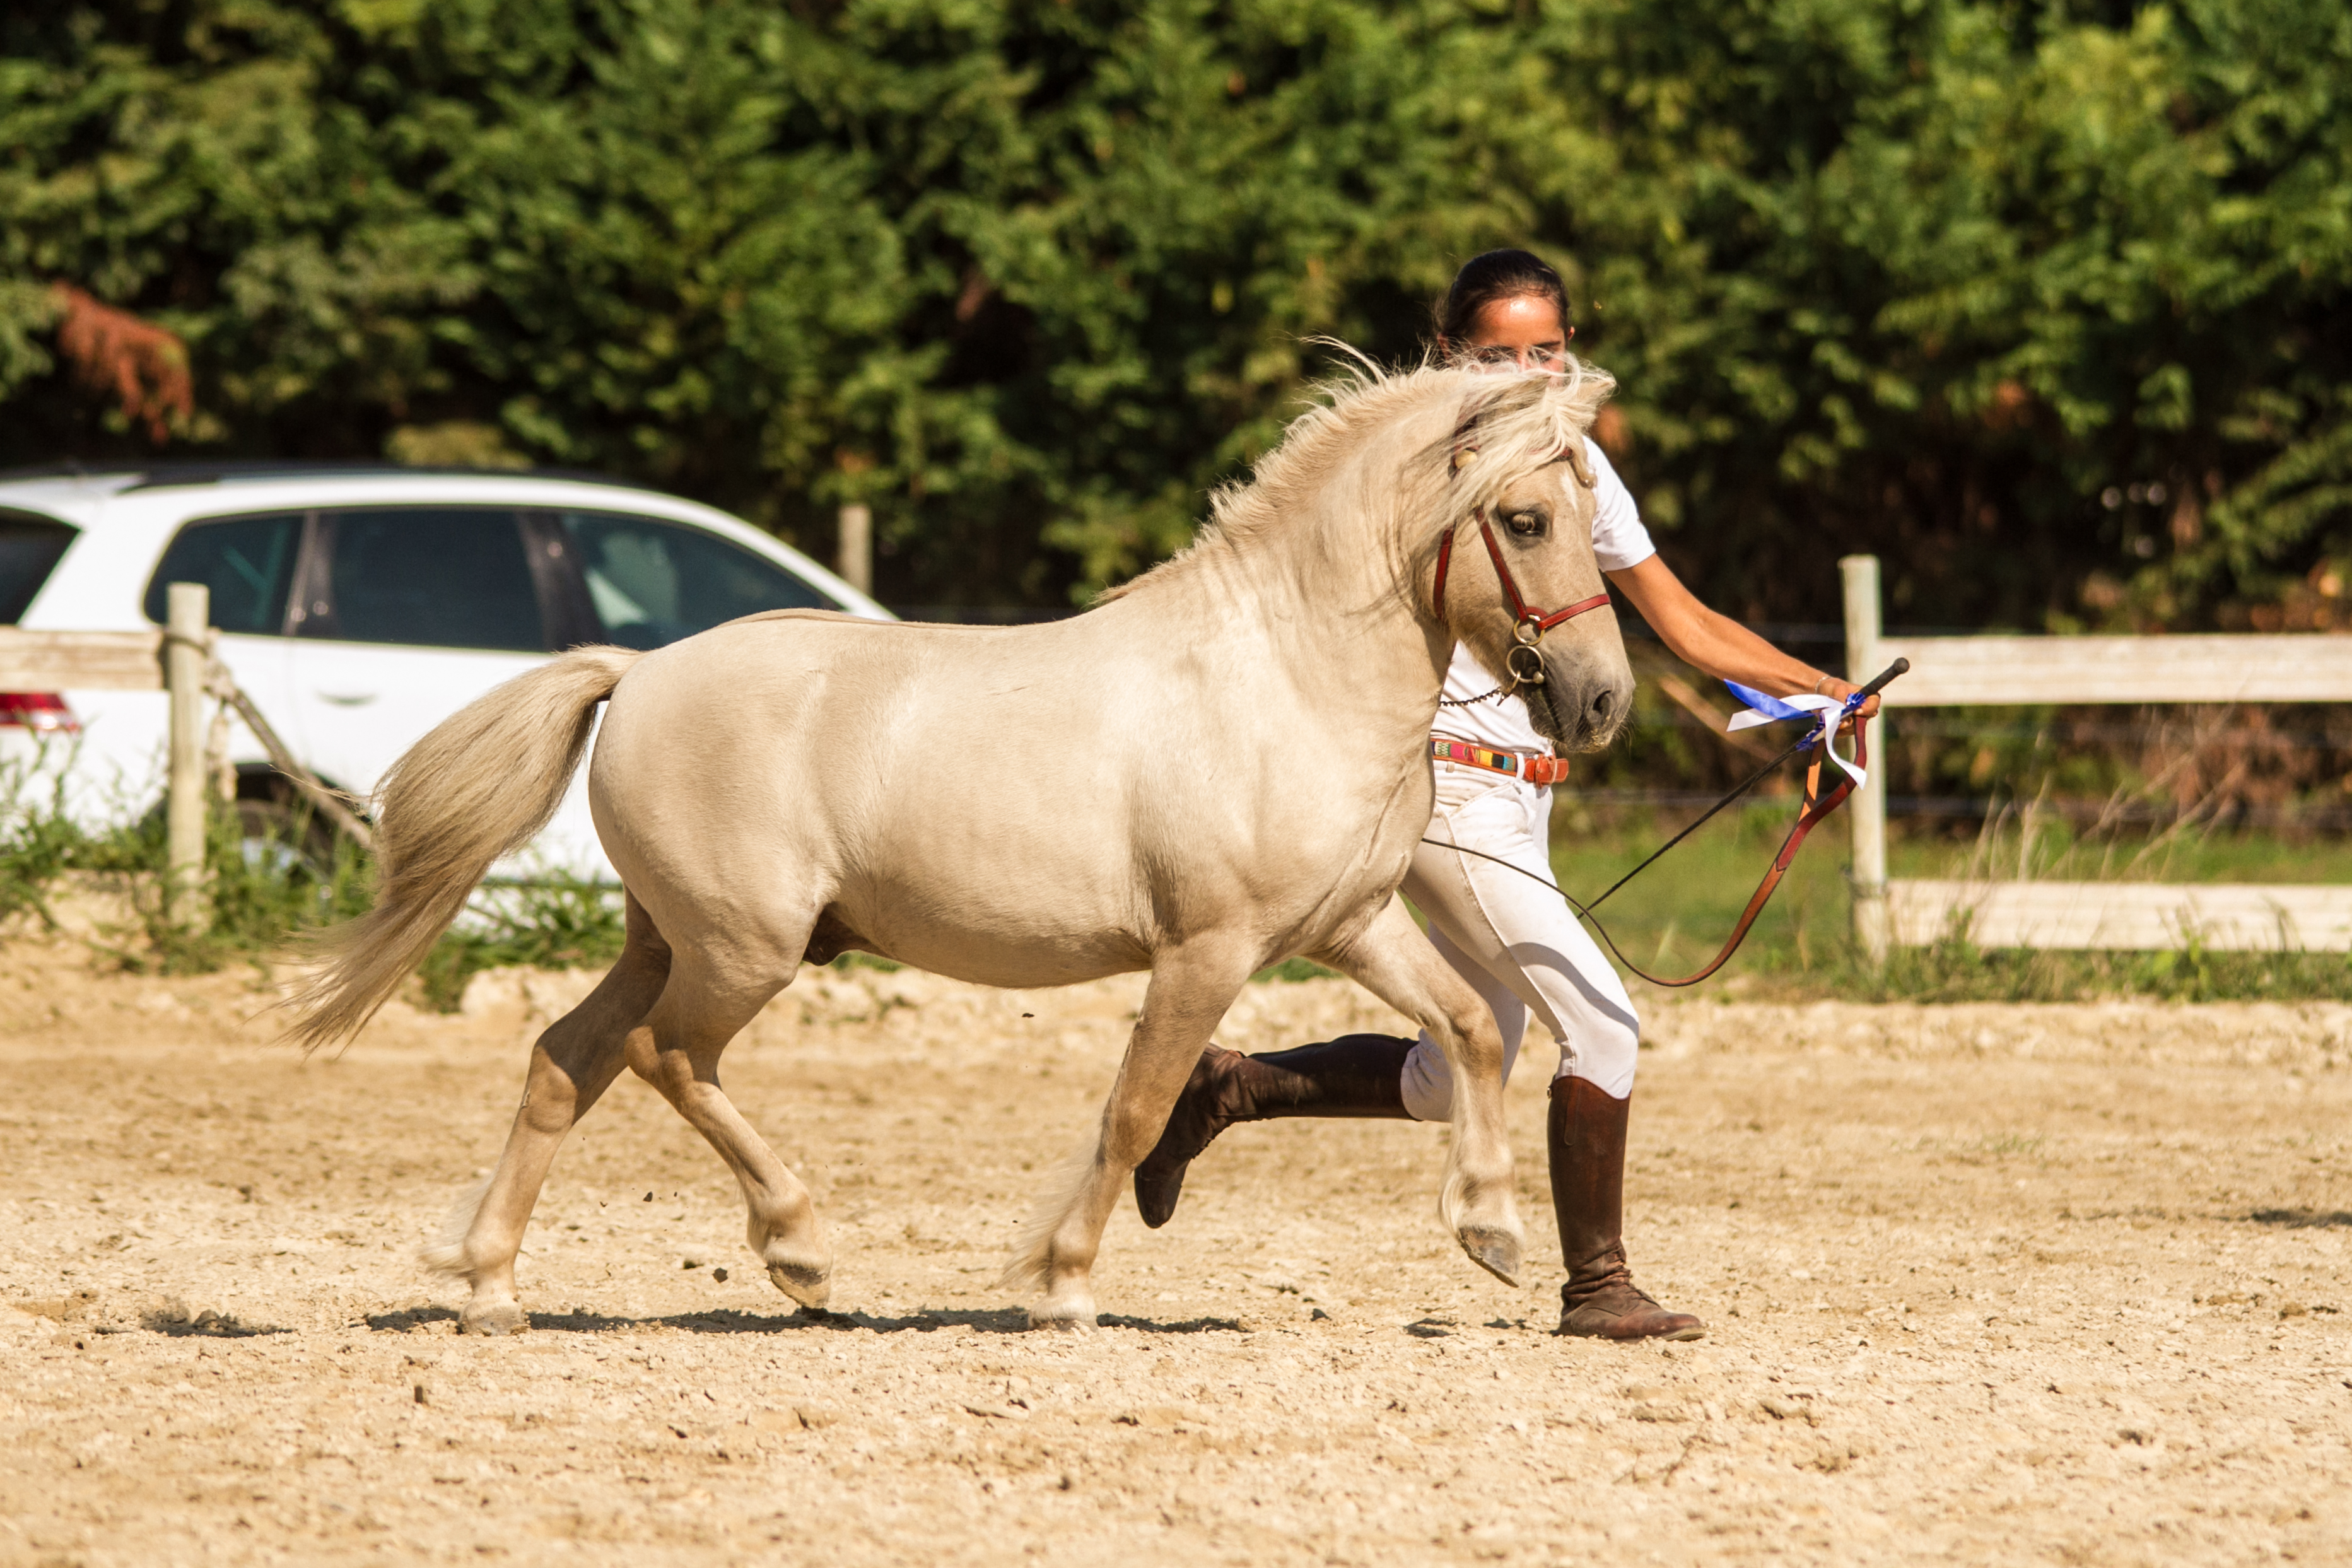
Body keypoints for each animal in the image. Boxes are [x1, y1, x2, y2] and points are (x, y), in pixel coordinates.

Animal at [284, 360, 1627, 1335]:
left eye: (1589, 515)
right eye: (1524, 518)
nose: (1601, 700)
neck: (1284, 677)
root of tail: (640, 672)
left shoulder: (1344, 924)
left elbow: (1466, 1027)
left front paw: (1491, 1232)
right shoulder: (1206, 949)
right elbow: (1135, 1109)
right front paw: (1063, 1284)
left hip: (664, 939)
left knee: (566, 1062)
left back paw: (492, 1291)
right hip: (741, 951)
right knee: (669, 1059)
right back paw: (799, 1253)